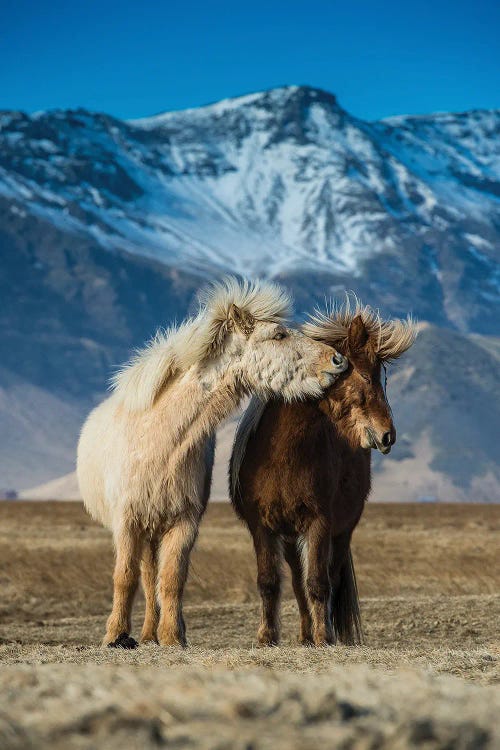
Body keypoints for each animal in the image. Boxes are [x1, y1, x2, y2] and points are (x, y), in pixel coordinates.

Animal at [77, 280, 348, 648]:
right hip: (145, 529)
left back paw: (152, 633)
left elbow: (173, 578)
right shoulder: (127, 522)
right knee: (144, 576)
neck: (162, 444)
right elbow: (125, 577)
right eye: (278, 335)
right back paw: (142, 633)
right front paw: (115, 635)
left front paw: (173, 637)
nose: (338, 360)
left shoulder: (185, 522)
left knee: (154, 576)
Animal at [229, 302, 416, 648]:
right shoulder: (261, 527)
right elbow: (270, 582)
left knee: (332, 576)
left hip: (341, 532)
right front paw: (267, 638)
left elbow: (318, 582)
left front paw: (323, 637)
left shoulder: (320, 523)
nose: (388, 436)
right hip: (291, 537)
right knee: (297, 582)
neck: (283, 459)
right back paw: (303, 635)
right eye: (362, 374)